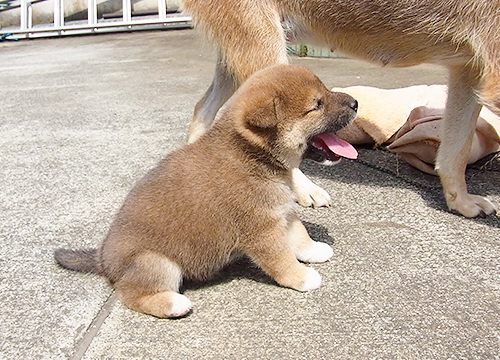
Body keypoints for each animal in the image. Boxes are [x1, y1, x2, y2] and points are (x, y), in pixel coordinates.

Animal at [54, 64, 358, 318]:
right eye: (316, 105)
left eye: (325, 90)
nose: (356, 103)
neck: (252, 154)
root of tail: (104, 260)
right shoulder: (262, 231)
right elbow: (281, 259)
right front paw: (302, 277)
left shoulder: (282, 213)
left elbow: (300, 235)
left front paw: (314, 250)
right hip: (156, 262)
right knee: (130, 294)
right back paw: (173, 304)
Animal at [182, 0, 500, 217]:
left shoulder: (469, 69)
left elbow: (456, 149)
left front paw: (461, 202)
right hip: (264, 51)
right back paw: (305, 189)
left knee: (203, 109)